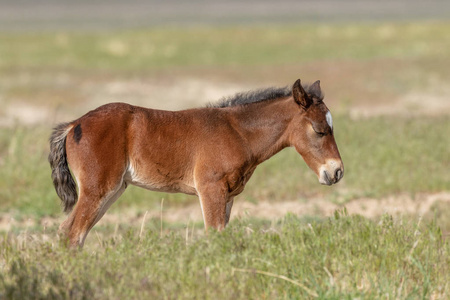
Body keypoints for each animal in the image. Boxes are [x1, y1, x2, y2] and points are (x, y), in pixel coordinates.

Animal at [49, 78, 342, 247]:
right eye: (319, 130)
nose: (336, 171)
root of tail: (74, 125)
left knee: (74, 234)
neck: (238, 131)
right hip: (98, 189)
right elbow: (213, 235)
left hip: (113, 190)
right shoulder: (211, 189)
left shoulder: (228, 195)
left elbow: (222, 235)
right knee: (71, 233)